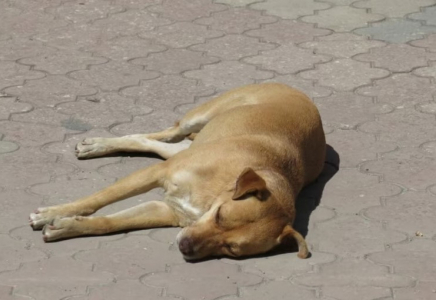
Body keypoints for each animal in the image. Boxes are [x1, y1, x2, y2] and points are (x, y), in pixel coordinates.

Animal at [29, 82, 326, 260]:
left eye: (231, 249)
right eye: (220, 216)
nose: (185, 247)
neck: (214, 194)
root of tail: (294, 88)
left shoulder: (166, 211)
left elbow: (110, 222)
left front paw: (67, 226)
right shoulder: (157, 173)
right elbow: (97, 199)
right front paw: (54, 212)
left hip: (187, 143)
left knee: (154, 142)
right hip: (198, 118)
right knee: (163, 133)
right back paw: (98, 144)